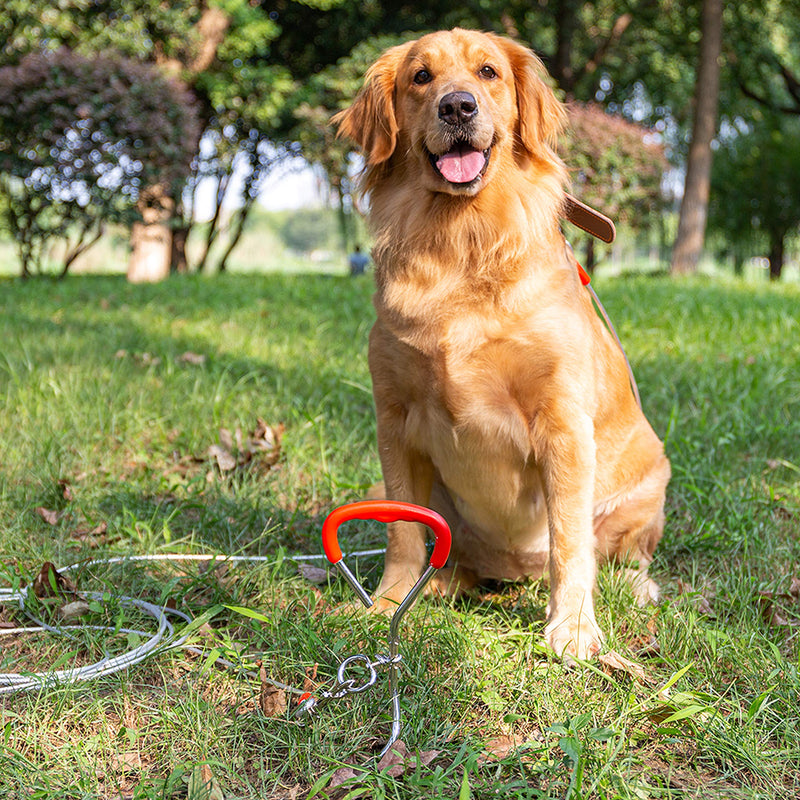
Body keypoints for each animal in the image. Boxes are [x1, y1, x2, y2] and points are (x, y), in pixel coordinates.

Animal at [334, 28, 672, 660]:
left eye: (488, 72)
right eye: (420, 77)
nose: (457, 107)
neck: (461, 239)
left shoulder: (562, 420)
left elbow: (571, 543)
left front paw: (572, 627)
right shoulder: (394, 418)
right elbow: (402, 533)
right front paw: (388, 602)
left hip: (649, 480)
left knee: (622, 557)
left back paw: (635, 587)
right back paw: (441, 583)